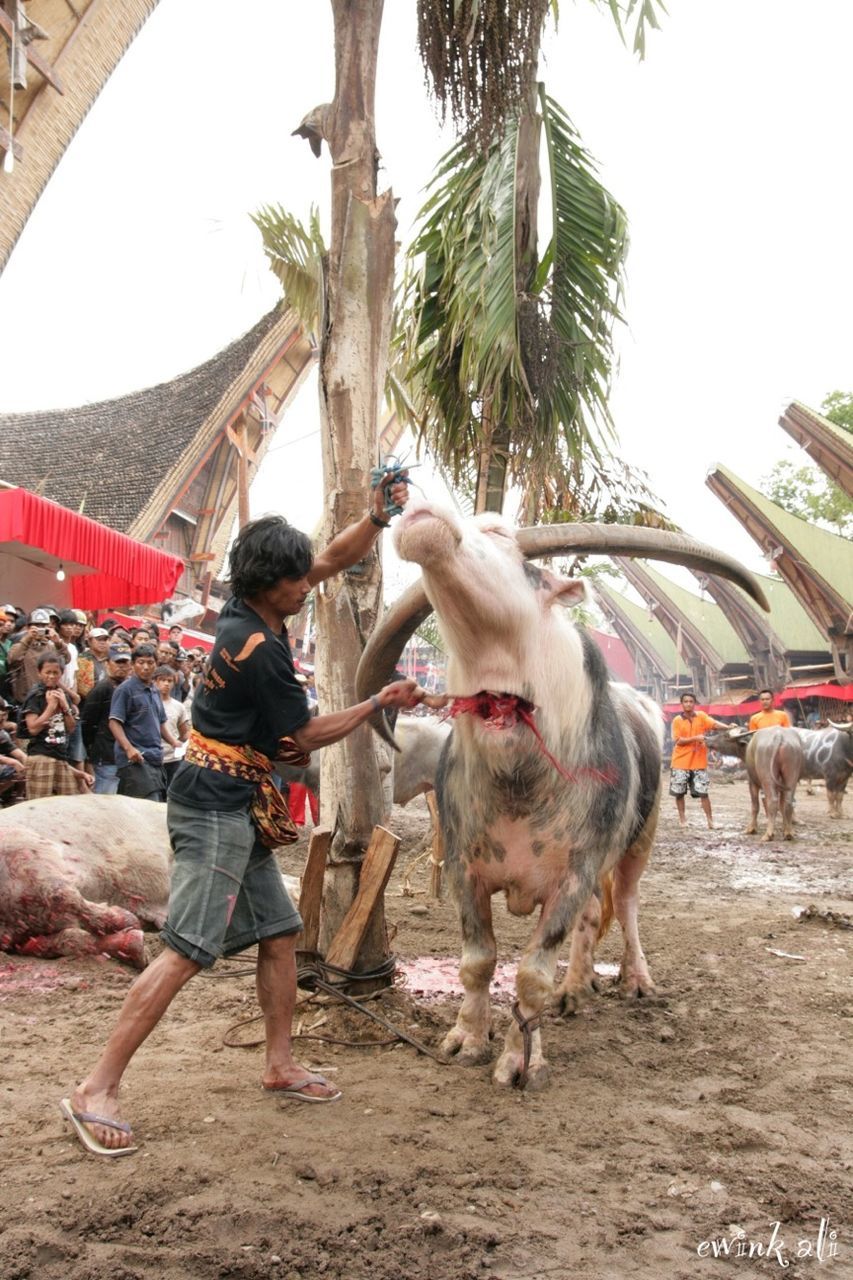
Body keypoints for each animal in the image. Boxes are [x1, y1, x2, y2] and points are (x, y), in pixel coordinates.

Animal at [350, 504, 763, 1085]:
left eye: (498, 532)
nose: (420, 514)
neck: (518, 775)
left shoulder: (574, 874)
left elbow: (532, 975)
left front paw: (519, 1061)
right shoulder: (465, 868)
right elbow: (478, 962)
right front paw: (467, 1038)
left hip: (640, 841)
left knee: (627, 904)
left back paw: (634, 980)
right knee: (591, 920)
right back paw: (576, 988)